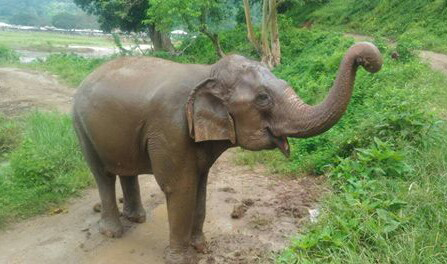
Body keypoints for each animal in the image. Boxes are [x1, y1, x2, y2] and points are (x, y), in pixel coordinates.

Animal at [72, 42, 382, 262]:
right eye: (263, 98)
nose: (368, 61)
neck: (208, 72)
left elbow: (200, 184)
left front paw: (201, 247)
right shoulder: (171, 129)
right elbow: (180, 187)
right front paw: (180, 259)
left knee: (125, 169)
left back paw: (137, 219)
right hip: (80, 126)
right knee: (102, 175)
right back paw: (113, 231)